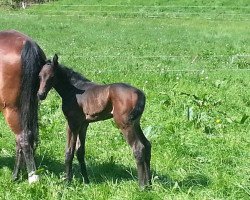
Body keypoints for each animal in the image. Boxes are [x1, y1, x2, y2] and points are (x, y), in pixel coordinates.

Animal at [36, 54, 150, 188]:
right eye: (39, 76)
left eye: (52, 76)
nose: (40, 95)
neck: (73, 90)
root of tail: (140, 93)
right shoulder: (84, 124)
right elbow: (80, 151)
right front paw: (86, 181)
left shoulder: (72, 123)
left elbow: (69, 151)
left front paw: (67, 182)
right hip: (135, 123)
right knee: (147, 145)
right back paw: (150, 183)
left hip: (125, 124)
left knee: (138, 148)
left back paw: (142, 186)